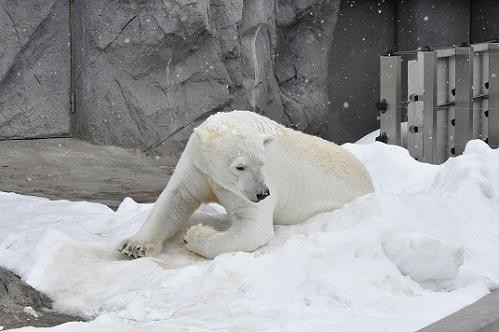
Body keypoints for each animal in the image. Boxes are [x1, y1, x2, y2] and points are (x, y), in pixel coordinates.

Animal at [119, 111, 374, 260]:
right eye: (240, 166)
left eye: (261, 162)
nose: (262, 193)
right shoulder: (197, 165)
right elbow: (175, 199)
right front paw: (134, 246)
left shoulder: (256, 184)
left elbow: (254, 226)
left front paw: (194, 234)